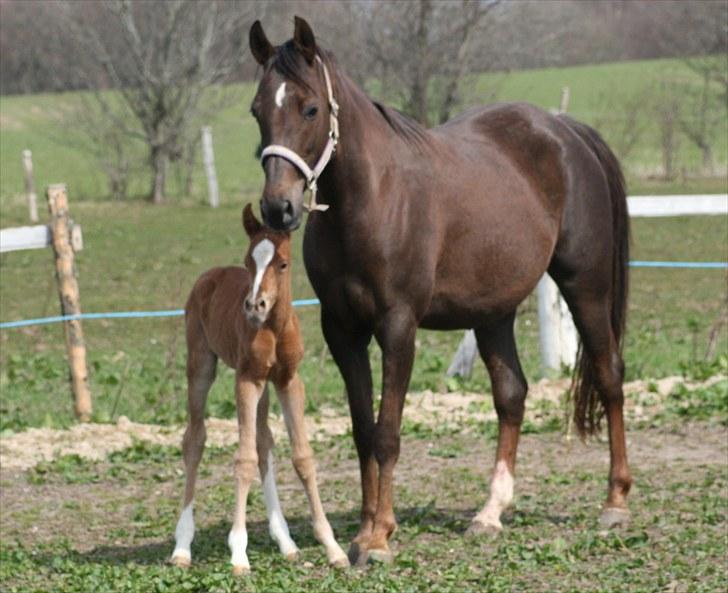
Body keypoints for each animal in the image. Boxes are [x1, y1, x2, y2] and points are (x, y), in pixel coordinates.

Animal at [171, 205, 346, 572]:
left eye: (283, 263)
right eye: (248, 261)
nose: (255, 306)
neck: (275, 328)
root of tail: (209, 275)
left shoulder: (288, 379)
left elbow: (301, 456)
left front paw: (333, 547)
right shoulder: (247, 379)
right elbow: (244, 459)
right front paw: (239, 553)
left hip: (265, 384)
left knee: (264, 440)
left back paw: (286, 542)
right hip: (201, 365)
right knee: (195, 439)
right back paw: (182, 546)